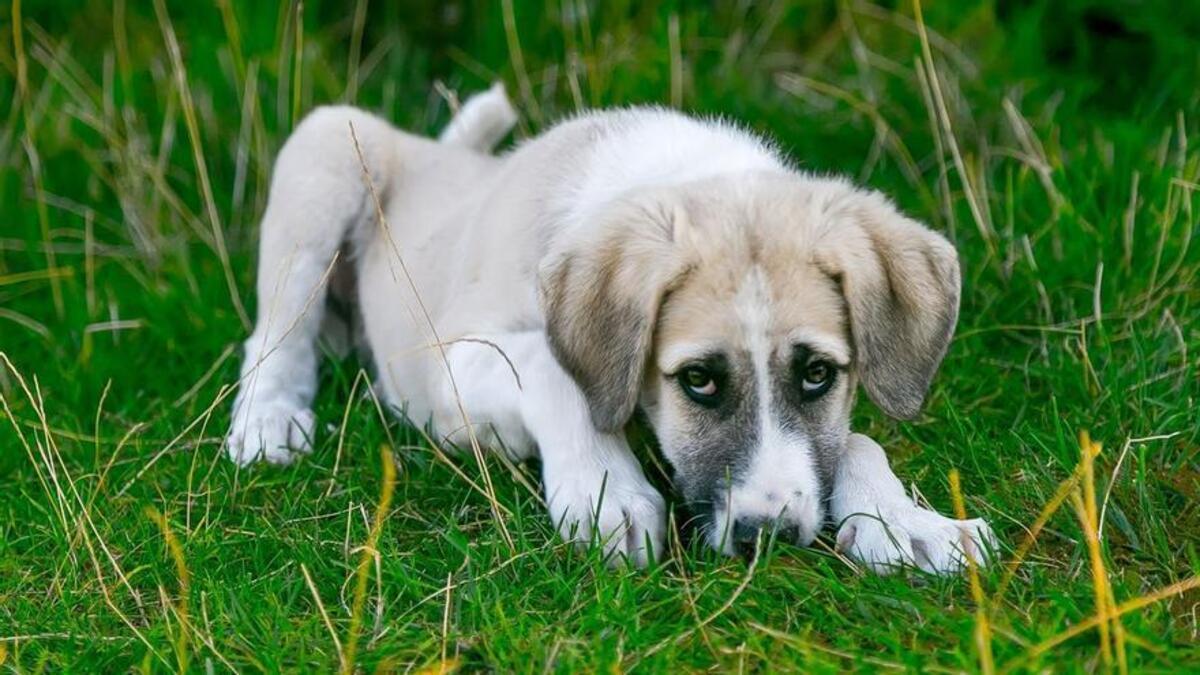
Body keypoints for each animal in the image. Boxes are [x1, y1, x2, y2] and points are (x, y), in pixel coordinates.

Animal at [225, 81, 993, 569]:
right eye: (698, 380)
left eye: (817, 374)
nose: (768, 536)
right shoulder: (451, 363)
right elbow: (550, 367)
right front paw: (605, 492)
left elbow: (856, 438)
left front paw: (905, 522)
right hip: (326, 149)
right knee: (275, 330)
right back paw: (268, 421)